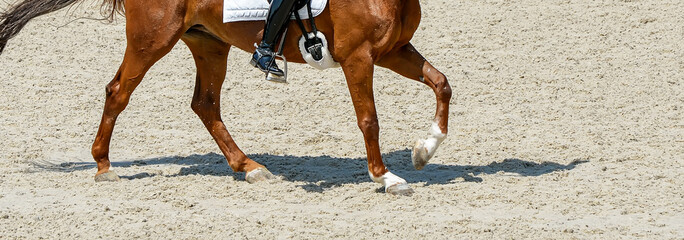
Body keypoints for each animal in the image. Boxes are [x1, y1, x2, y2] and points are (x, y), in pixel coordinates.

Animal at [1, 0, 454, 193]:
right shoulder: (359, 57)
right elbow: (368, 119)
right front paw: (385, 177)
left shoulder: (392, 50)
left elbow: (442, 83)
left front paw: (424, 150)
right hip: (152, 38)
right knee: (118, 92)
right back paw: (103, 166)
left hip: (208, 43)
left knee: (205, 104)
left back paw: (249, 167)